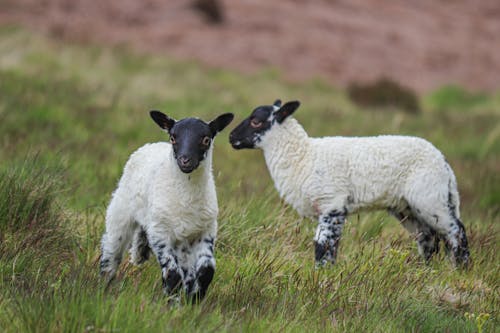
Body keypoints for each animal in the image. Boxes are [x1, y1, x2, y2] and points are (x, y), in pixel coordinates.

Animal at [101, 109, 234, 300]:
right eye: (173, 138)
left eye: (206, 139)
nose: (185, 160)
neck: (186, 197)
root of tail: (151, 145)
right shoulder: (159, 232)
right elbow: (172, 275)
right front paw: (171, 303)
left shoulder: (206, 231)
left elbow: (206, 271)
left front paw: (194, 300)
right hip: (121, 212)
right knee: (110, 251)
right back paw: (103, 287)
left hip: (182, 242)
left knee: (187, 271)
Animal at [229, 99, 468, 268]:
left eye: (256, 121)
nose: (231, 137)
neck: (303, 157)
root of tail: (444, 163)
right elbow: (327, 246)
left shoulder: (332, 203)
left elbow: (323, 245)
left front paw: (322, 275)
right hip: (406, 206)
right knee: (427, 237)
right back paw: (426, 270)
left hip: (429, 196)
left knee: (456, 231)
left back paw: (459, 270)